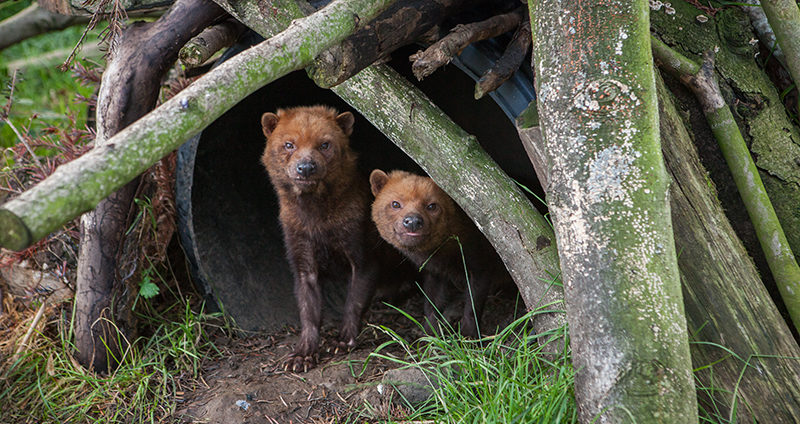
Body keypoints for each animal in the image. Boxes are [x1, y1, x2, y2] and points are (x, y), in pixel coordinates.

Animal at [260, 106, 394, 372]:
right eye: (289, 144)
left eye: (324, 144)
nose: (305, 167)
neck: (317, 221)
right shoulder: (302, 255)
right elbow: (308, 312)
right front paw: (301, 356)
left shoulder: (362, 255)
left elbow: (354, 302)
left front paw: (342, 342)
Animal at [368, 169, 506, 338]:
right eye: (395, 203)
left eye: (432, 205)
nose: (413, 221)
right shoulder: (434, 272)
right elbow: (432, 304)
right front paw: (430, 334)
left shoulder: (480, 264)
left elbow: (473, 305)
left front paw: (468, 335)